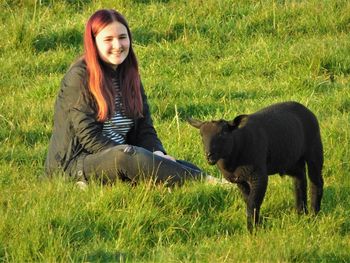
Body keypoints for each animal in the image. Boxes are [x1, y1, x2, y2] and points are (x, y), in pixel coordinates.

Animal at [190, 101, 324, 233]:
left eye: (223, 133)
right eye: (201, 135)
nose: (208, 155)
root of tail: (305, 108)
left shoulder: (258, 176)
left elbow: (253, 202)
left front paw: (252, 229)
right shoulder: (240, 180)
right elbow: (248, 200)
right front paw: (256, 224)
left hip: (314, 149)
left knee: (316, 181)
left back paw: (314, 214)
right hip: (291, 159)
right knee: (300, 180)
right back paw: (301, 213)